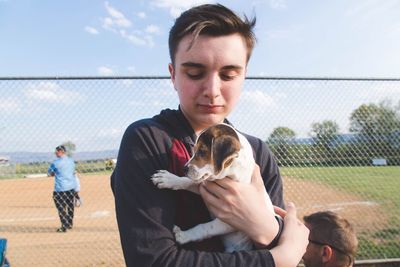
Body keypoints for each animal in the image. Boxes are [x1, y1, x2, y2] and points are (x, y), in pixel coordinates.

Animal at [152, 123, 276, 253]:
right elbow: (187, 181)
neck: (228, 175)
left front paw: (183, 235)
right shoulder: (204, 186)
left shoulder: (230, 222)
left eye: (202, 152)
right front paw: (168, 179)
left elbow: (205, 227)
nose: (184, 169)